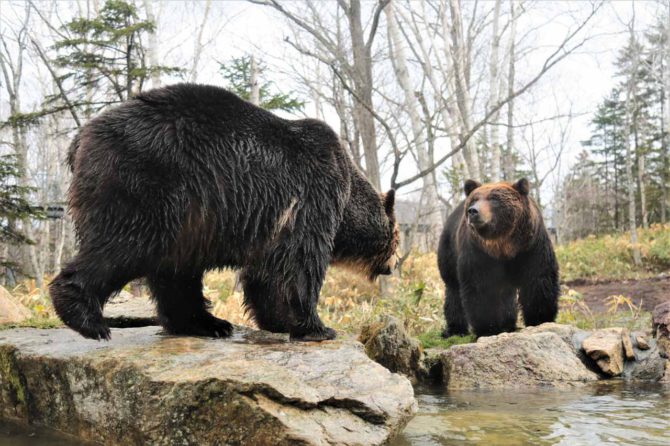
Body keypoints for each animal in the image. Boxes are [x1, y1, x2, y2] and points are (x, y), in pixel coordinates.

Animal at [52, 83, 402, 342]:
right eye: (397, 240)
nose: (395, 265)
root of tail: (80, 138)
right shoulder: (312, 193)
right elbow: (298, 262)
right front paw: (318, 327)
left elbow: (266, 271)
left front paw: (278, 322)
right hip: (148, 182)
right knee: (125, 244)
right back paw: (87, 318)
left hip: (186, 217)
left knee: (176, 271)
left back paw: (208, 323)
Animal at [438, 179, 560, 336]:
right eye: (475, 199)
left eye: (494, 199)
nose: (473, 211)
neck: (504, 245)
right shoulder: (478, 253)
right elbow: (479, 287)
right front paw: (488, 328)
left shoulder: (531, 247)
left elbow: (538, 280)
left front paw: (540, 319)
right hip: (449, 250)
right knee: (453, 288)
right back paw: (455, 329)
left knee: (506, 295)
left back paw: (508, 324)